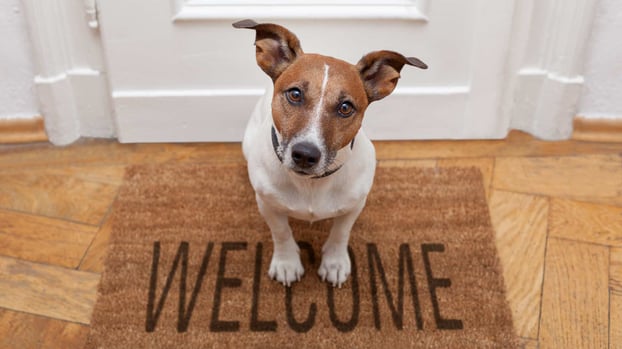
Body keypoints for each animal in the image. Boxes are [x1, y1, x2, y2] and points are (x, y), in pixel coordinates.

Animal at [234, 17, 428, 286]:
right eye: (295, 94)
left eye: (346, 107)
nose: (305, 154)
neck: (312, 184)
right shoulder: (268, 205)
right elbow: (281, 232)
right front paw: (286, 262)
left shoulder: (355, 205)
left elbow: (340, 233)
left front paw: (334, 262)